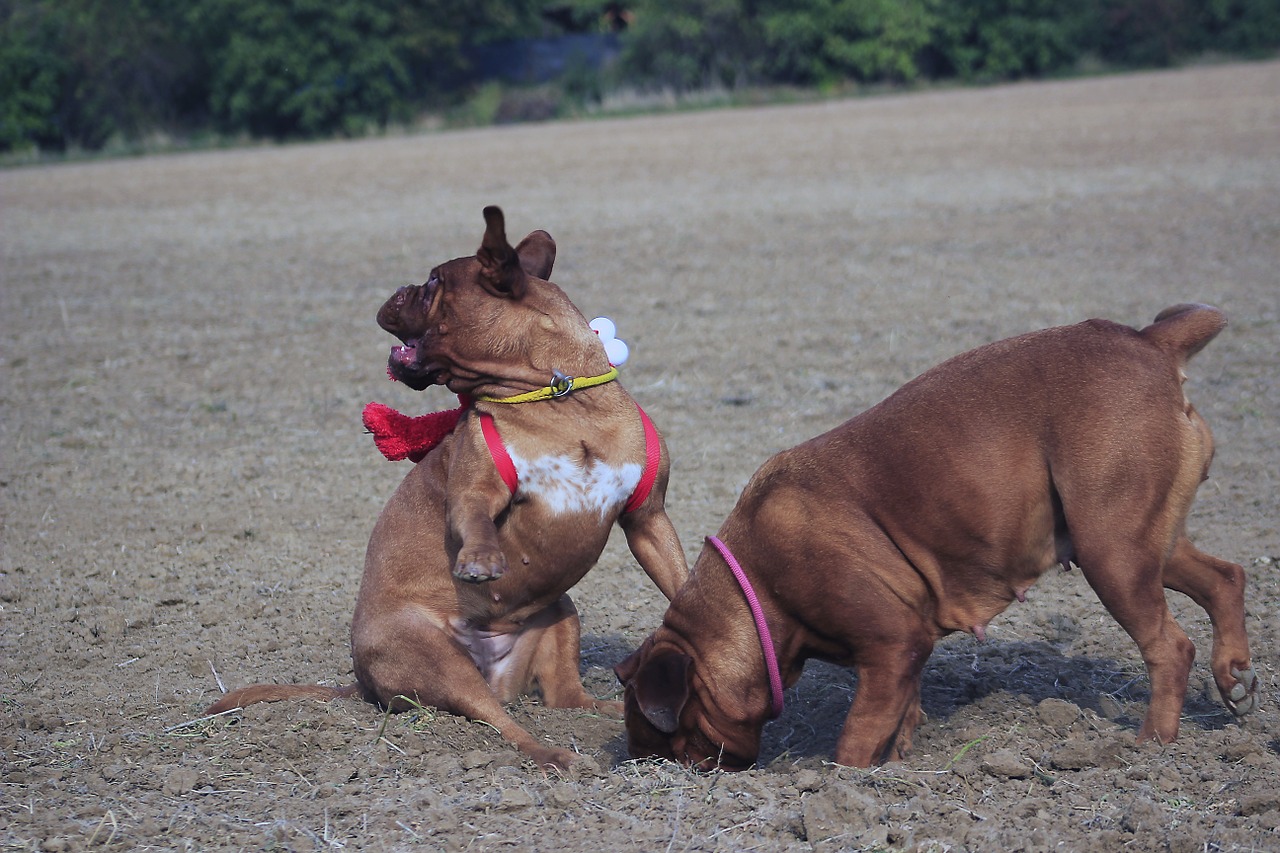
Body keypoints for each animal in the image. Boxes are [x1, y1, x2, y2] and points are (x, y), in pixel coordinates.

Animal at [209, 207, 691, 768]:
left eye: (435, 280)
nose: (400, 286)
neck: (558, 396)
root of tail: (365, 685)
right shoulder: (475, 489)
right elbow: (475, 514)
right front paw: (480, 559)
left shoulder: (648, 520)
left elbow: (678, 577)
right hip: (437, 661)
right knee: (501, 721)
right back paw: (554, 755)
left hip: (560, 612)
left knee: (567, 699)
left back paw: (612, 713)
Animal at [616, 302, 1259, 768]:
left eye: (667, 733)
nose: (648, 762)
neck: (756, 591)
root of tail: (1147, 341)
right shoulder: (903, 653)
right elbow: (899, 714)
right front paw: (895, 765)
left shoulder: (891, 644)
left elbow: (857, 734)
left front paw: (839, 782)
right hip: (1141, 541)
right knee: (1225, 577)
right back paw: (1233, 674)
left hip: (1114, 552)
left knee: (1169, 647)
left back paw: (1149, 747)